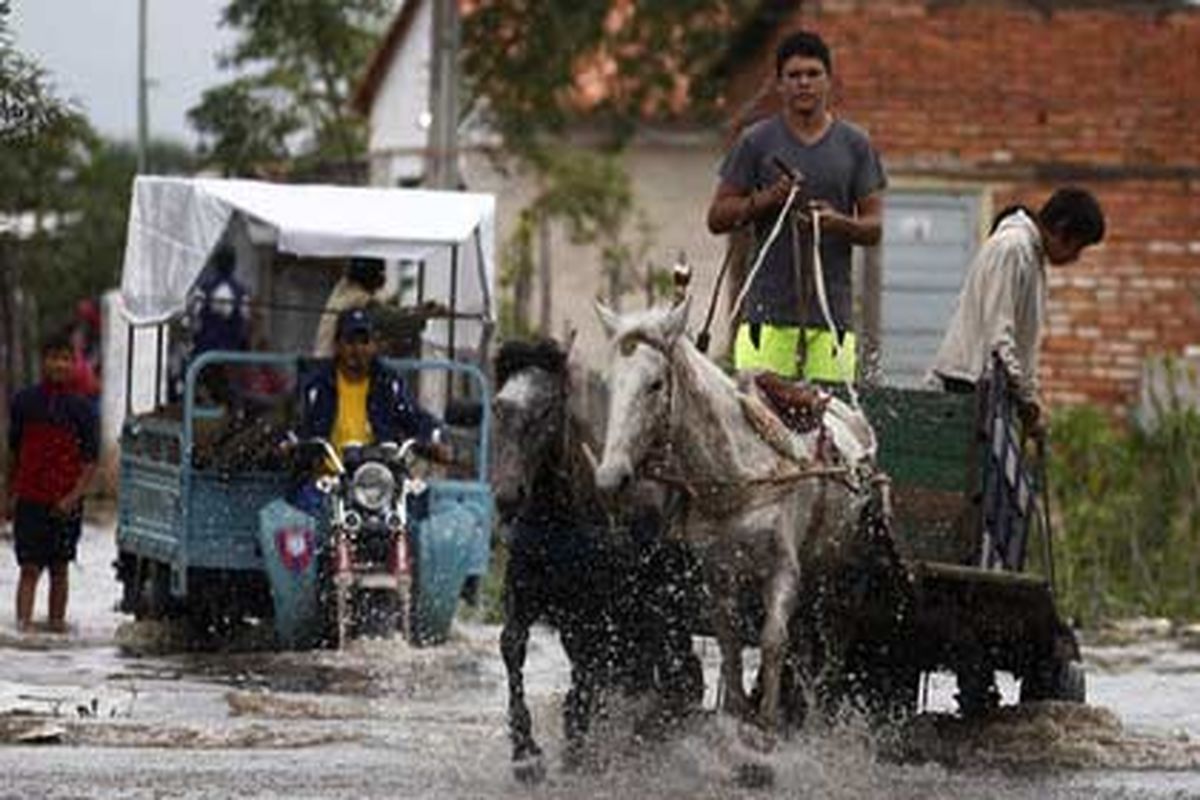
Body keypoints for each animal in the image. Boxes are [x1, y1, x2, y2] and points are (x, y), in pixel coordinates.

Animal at [492, 335, 700, 782]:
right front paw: (526, 752)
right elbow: (512, 645)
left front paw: (576, 745)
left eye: (548, 409)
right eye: (499, 406)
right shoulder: (523, 593)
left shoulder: (592, 611)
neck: (557, 528)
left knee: (672, 670)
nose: (507, 495)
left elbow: (590, 671)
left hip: (662, 610)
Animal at [595, 298, 878, 734]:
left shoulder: (784, 569)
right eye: (610, 384)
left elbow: (772, 640)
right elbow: (729, 642)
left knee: (832, 640)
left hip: (839, 575)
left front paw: (767, 723)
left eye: (655, 384)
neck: (740, 475)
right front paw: (737, 711)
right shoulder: (718, 570)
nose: (611, 477)